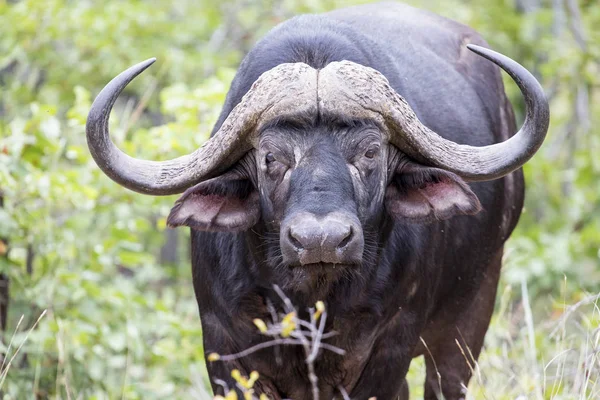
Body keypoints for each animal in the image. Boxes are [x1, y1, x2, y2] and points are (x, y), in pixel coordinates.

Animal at [84, 1, 548, 398]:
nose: (320, 240)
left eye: (370, 152)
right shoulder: (222, 349)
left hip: (468, 322)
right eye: (270, 157)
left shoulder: (391, 349)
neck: (311, 301)